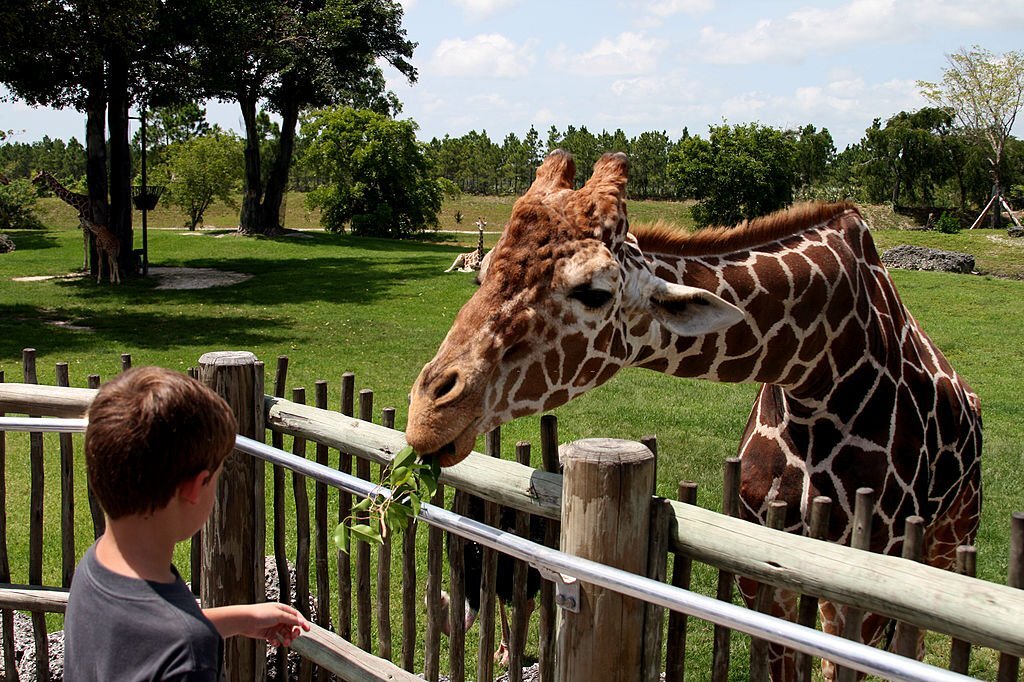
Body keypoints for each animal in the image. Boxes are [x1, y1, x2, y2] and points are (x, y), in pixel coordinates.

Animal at [403, 150, 978, 679]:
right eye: (482, 272)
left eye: (593, 291)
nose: (426, 415)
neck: (818, 372)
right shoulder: (761, 573)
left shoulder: (862, 586)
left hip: (951, 537)